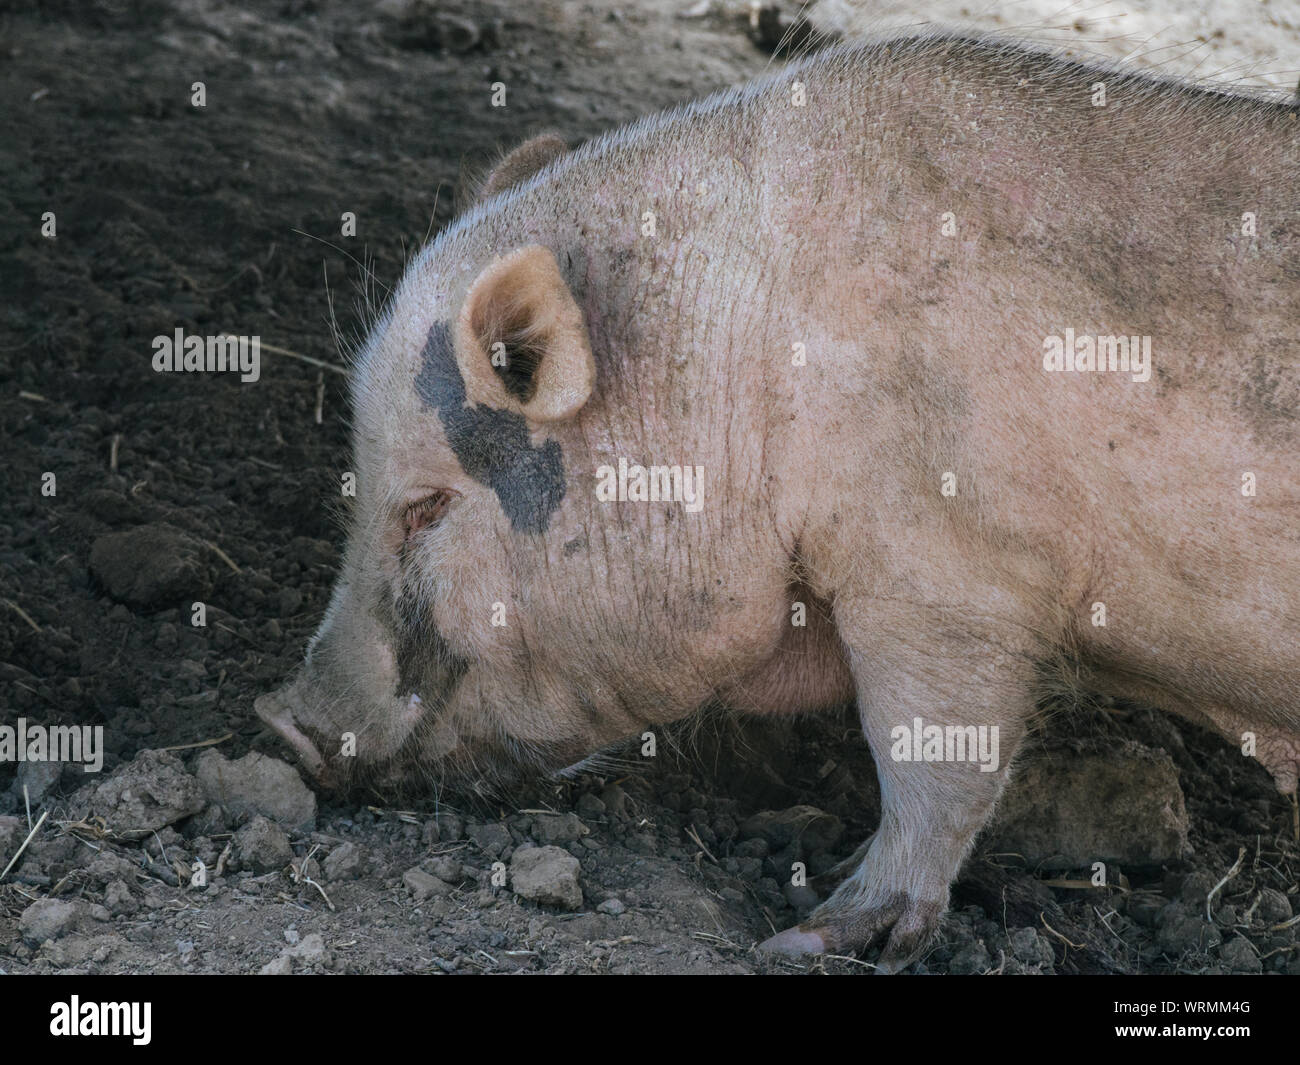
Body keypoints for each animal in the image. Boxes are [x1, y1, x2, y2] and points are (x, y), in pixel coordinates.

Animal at [256, 31, 1300, 971]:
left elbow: (938, 758)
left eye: (428, 505)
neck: (738, 353)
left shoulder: (950, 572)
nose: (280, 720)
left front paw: (812, 933)